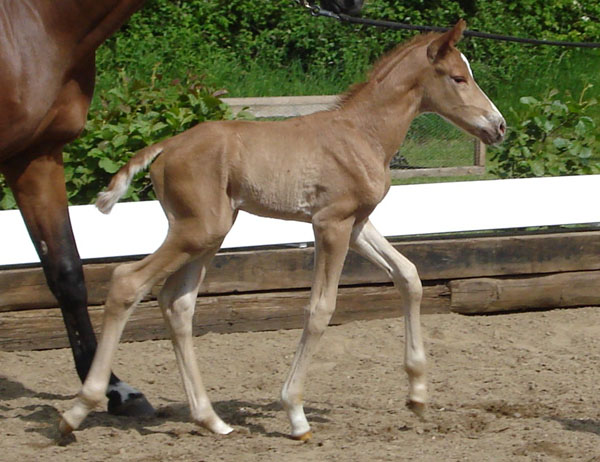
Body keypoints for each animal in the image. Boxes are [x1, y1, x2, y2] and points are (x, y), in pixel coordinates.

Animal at [61, 20, 504, 440]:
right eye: (458, 77)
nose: (498, 126)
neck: (362, 133)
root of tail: (167, 146)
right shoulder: (330, 224)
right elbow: (320, 308)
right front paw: (295, 413)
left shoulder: (357, 224)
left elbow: (409, 276)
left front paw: (418, 395)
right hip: (197, 231)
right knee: (127, 281)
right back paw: (80, 410)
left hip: (210, 233)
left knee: (177, 302)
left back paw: (211, 419)